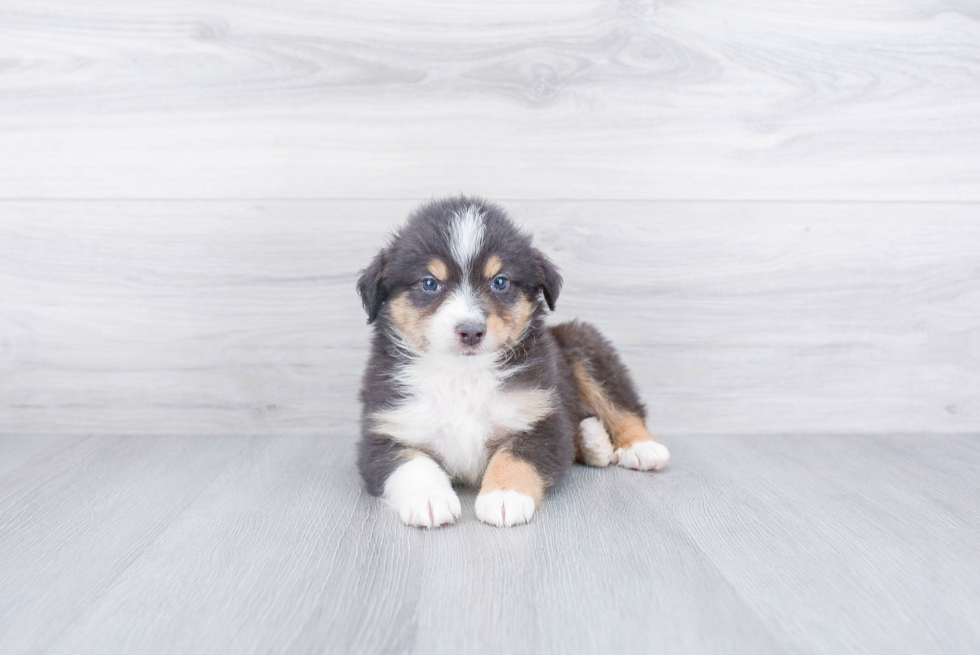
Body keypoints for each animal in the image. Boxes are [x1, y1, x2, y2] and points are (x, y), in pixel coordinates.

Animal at [356, 197, 668, 532]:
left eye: (500, 282)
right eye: (429, 283)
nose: (471, 331)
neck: (462, 376)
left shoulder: (542, 419)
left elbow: (515, 455)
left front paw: (504, 496)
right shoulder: (384, 430)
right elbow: (412, 464)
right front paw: (429, 500)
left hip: (584, 344)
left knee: (624, 407)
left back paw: (642, 447)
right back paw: (593, 441)